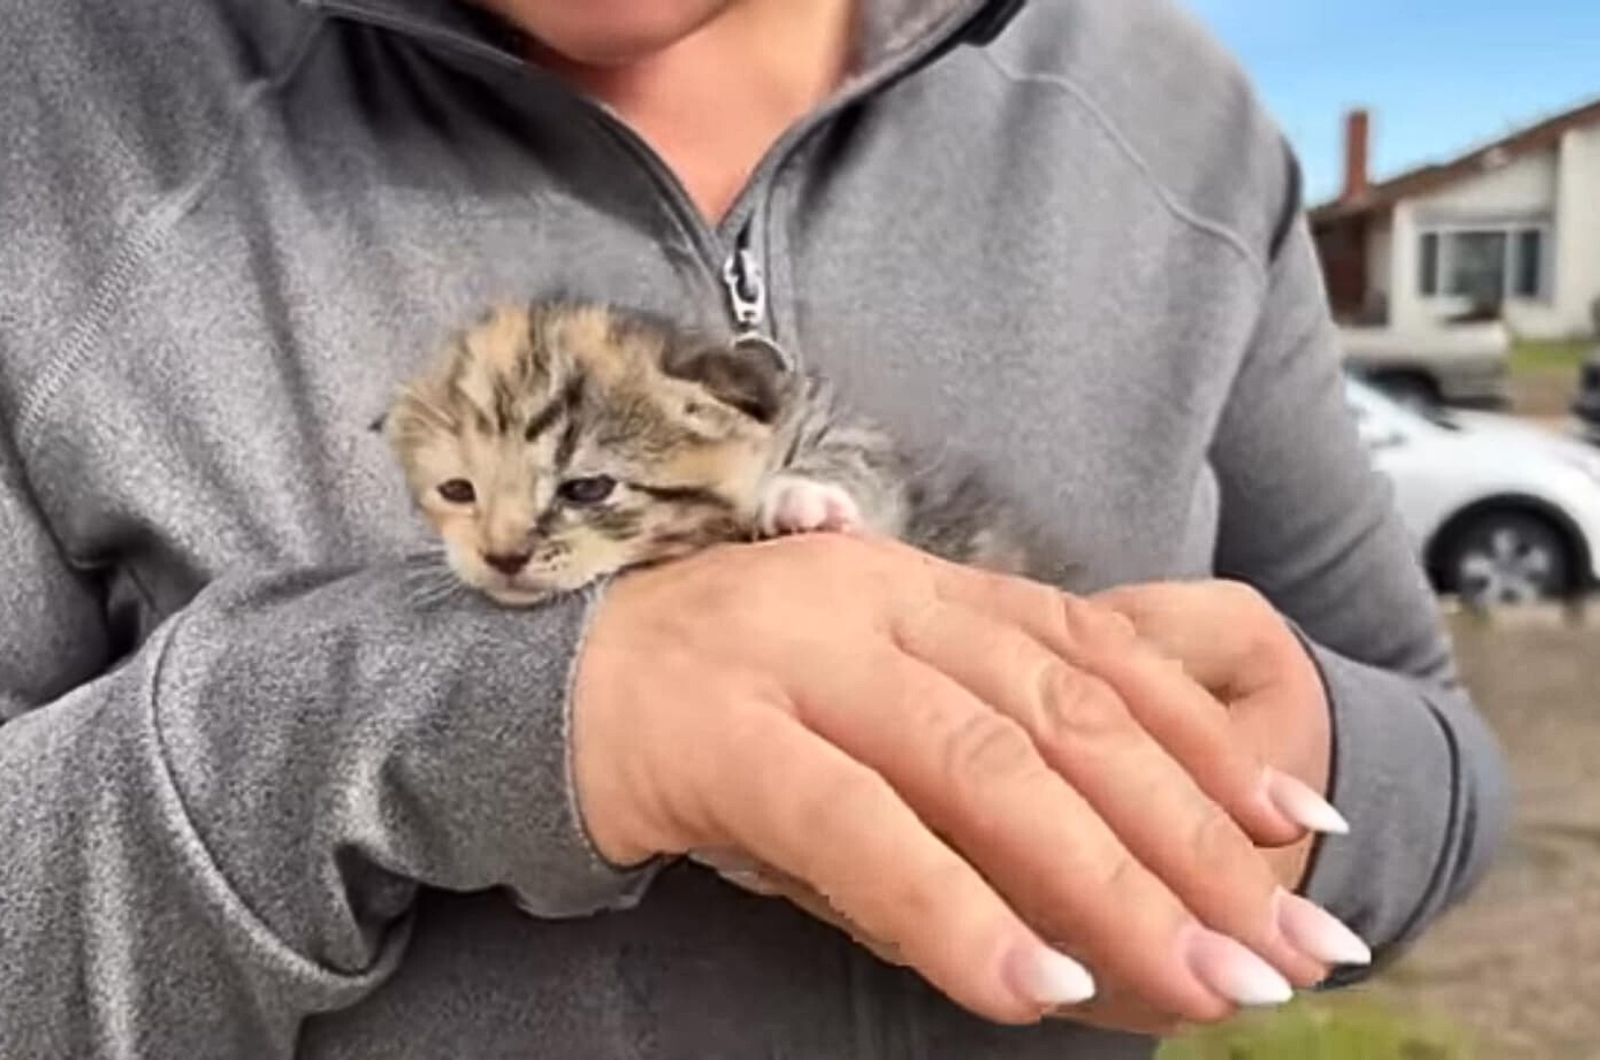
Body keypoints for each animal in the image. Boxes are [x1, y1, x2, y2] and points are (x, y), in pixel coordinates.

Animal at [384, 301, 1024, 605]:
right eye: (458, 491)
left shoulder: (851, 437)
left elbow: (859, 456)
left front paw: (800, 496)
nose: (502, 557)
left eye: (586, 488)